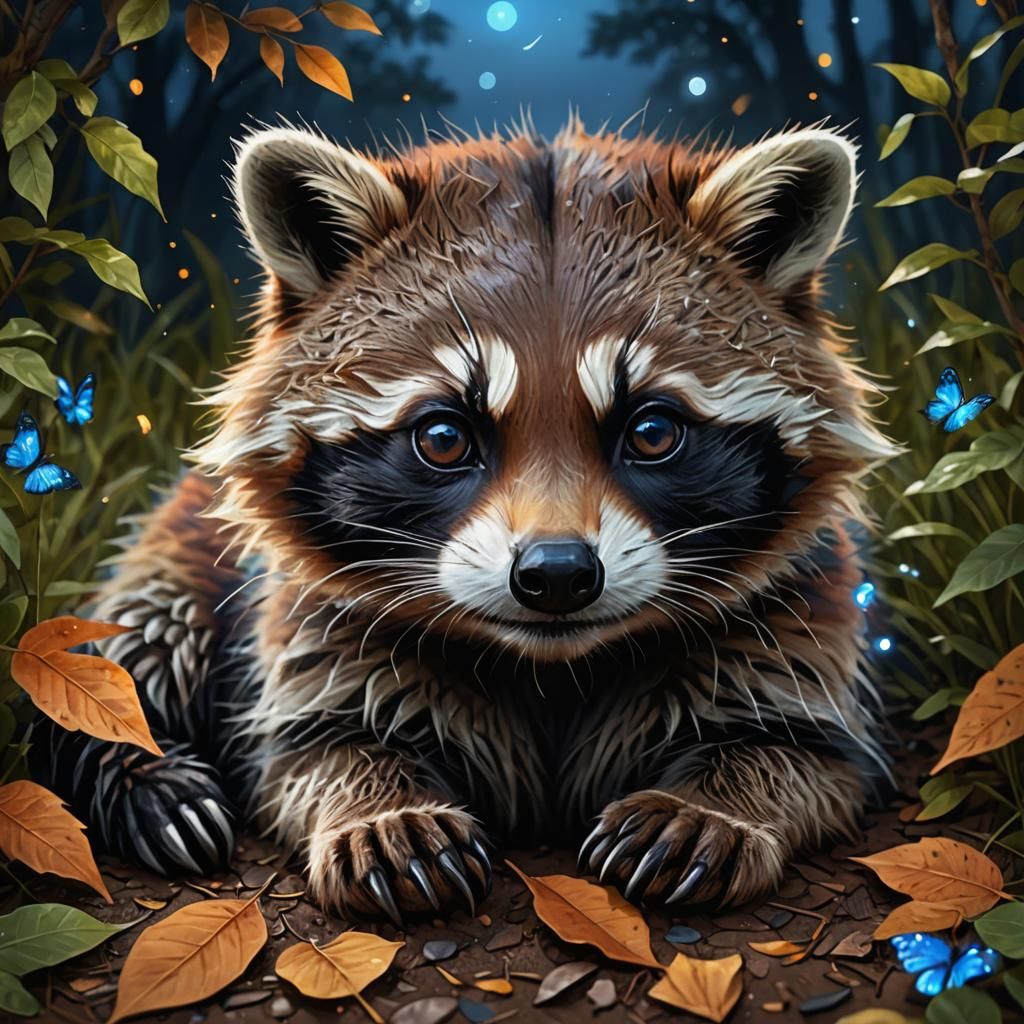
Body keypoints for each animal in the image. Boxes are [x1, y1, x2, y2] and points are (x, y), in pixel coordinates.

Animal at [43, 119, 895, 923]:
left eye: (652, 432)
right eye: (445, 437)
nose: (558, 575)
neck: (553, 667)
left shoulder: (801, 616)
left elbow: (805, 753)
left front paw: (710, 804)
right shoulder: (305, 624)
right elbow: (315, 749)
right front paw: (383, 807)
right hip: (180, 545)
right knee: (142, 638)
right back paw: (141, 765)